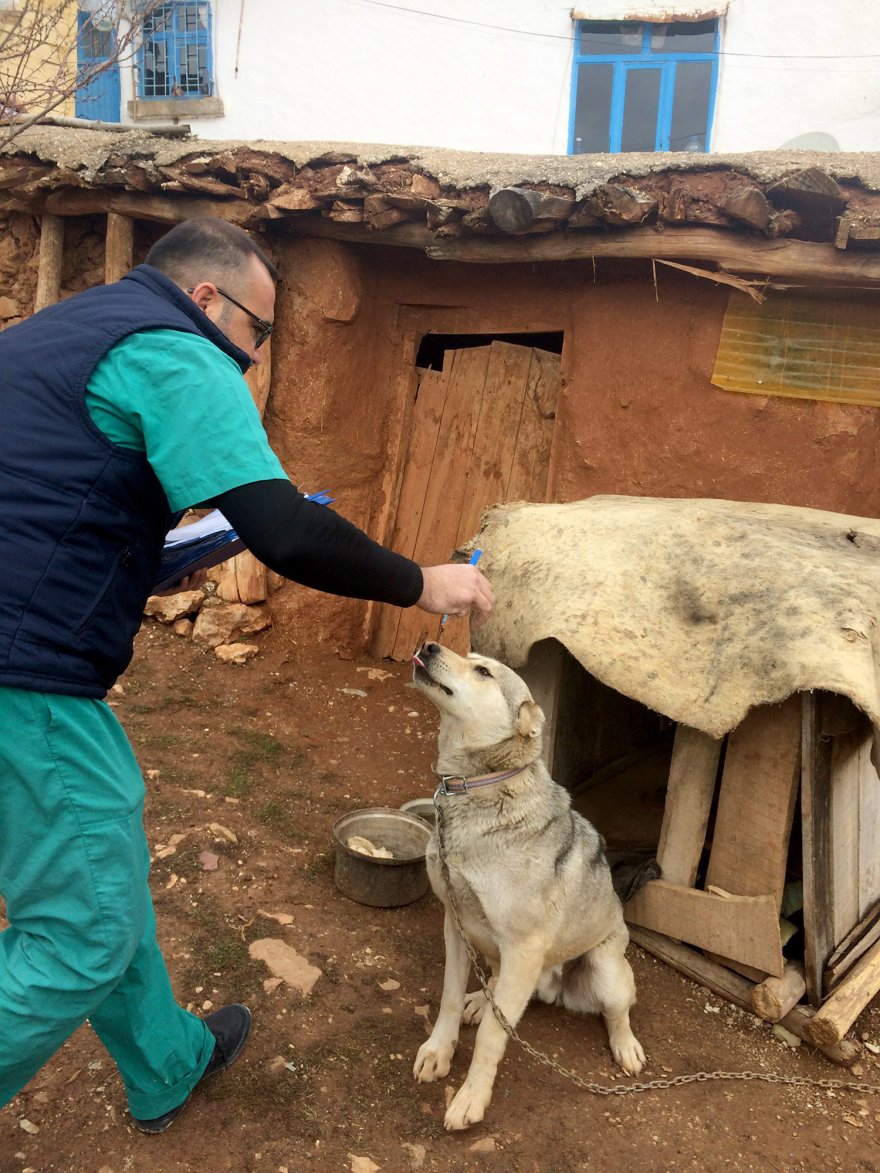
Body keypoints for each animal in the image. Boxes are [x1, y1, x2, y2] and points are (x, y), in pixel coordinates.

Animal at [413, 647, 647, 1130]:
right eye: (469, 656)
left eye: (483, 671)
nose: (428, 646)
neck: (477, 789)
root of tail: (551, 981)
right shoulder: (456, 923)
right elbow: (449, 998)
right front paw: (439, 1051)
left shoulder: (524, 947)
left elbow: (491, 1036)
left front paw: (471, 1098)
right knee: (497, 992)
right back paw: (480, 1000)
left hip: (606, 969)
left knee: (618, 1012)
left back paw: (626, 1046)